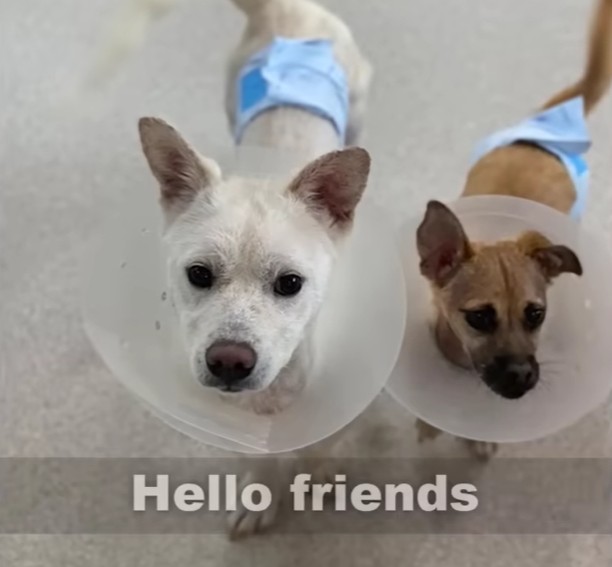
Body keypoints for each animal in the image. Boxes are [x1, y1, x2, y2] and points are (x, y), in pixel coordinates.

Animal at [137, 0, 373, 537]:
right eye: (198, 274)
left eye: (290, 283)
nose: (228, 361)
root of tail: (287, 9)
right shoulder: (240, 425)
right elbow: (259, 459)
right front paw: (259, 494)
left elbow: (319, 446)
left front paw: (318, 477)